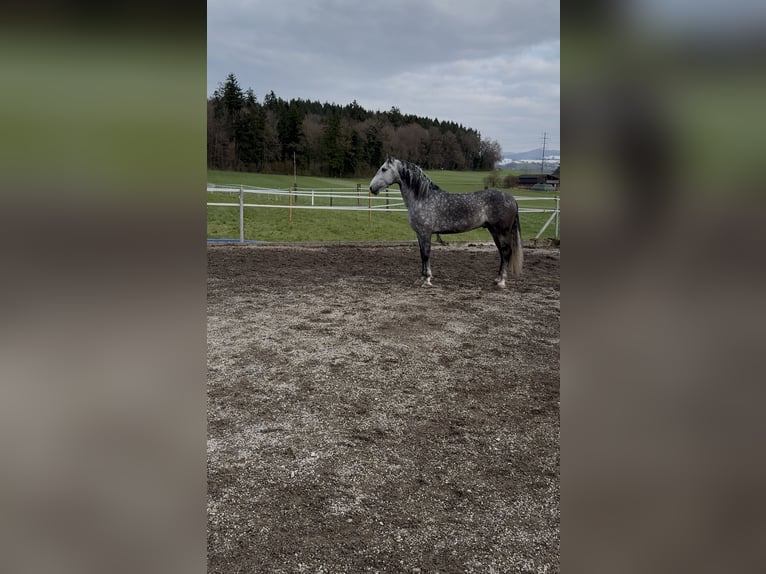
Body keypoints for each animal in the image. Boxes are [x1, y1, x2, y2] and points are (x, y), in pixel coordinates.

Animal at [369, 156, 523, 288]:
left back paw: (502, 281)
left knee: (506, 252)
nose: (371, 188)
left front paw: (427, 280)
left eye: (384, 169)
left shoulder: (425, 232)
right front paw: (421, 278)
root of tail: (512, 199)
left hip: (502, 231)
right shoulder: (419, 234)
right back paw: (497, 279)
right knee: (502, 253)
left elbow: (426, 254)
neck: (423, 197)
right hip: (493, 231)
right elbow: (422, 254)